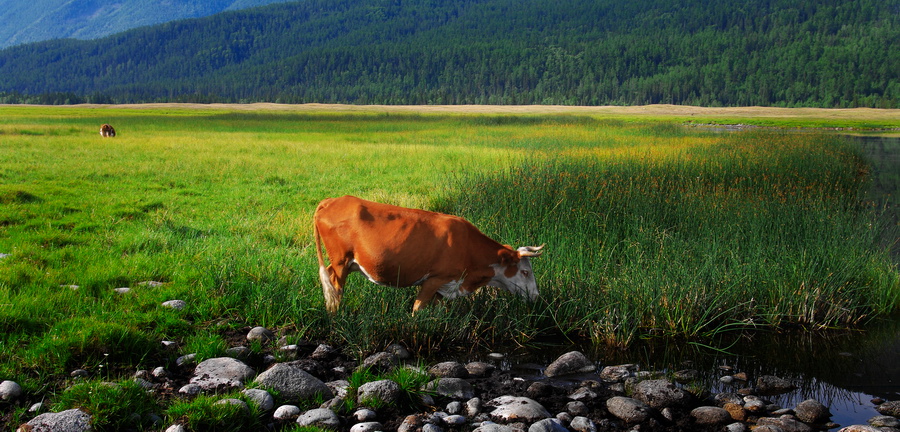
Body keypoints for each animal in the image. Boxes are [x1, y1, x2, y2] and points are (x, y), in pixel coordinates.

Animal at [312, 197, 544, 314]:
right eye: (525, 272)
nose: (536, 296)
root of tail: (332, 200)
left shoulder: (446, 286)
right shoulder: (434, 279)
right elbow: (417, 310)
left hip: (344, 262)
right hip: (341, 261)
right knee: (335, 291)